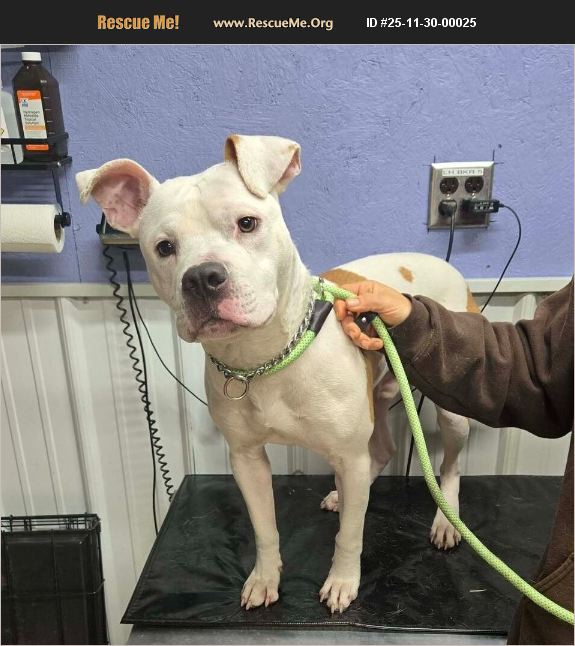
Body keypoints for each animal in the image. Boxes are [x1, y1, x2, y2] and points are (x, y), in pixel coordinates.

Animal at [77, 135, 474, 613]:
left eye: (247, 223)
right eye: (164, 247)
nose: (202, 277)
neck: (265, 358)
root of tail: (443, 264)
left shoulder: (346, 452)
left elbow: (350, 535)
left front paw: (343, 582)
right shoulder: (247, 459)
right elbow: (265, 528)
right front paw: (264, 579)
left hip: (451, 409)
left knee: (449, 465)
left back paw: (445, 521)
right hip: (377, 401)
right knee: (379, 453)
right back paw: (346, 495)